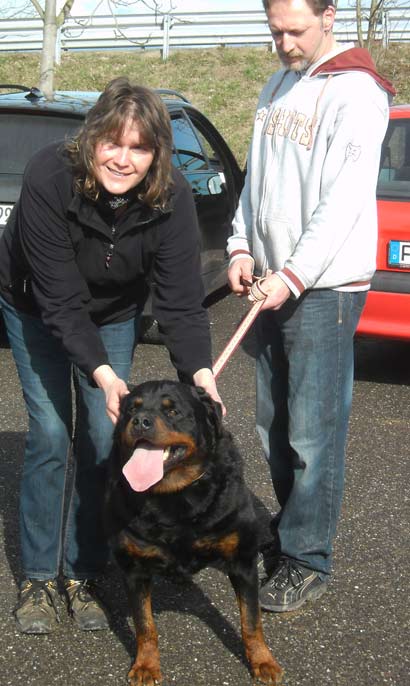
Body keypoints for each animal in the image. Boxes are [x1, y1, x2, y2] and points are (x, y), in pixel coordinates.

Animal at [104, 379, 283, 685]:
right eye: (130, 410)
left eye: (172, 411)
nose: (140, 421)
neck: (174, 497)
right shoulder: (134, 568)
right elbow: (144, 624)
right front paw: (146, 665)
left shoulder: (242, 561)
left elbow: (251, 620)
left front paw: (262, 661)